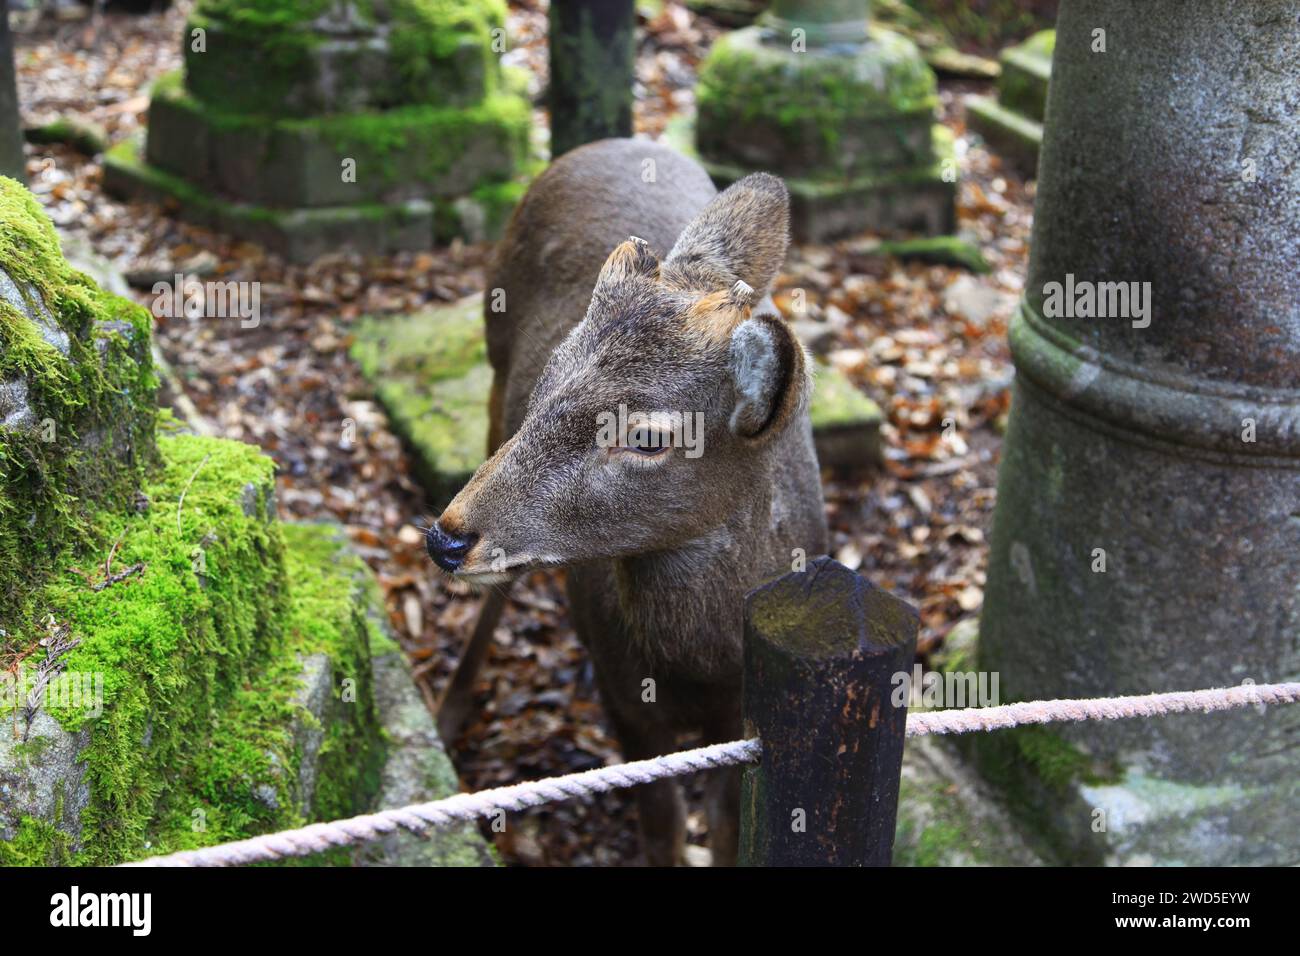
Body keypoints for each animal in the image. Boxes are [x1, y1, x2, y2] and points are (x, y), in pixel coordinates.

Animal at [431, 136, 826, 868]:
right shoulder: (625, 700)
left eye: (647, 437)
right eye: (550, 377)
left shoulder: (743, 723)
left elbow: (724, 831)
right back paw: (448, 710)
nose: (444, 537)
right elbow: (662, 828)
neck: (700, 666)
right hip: (492, 376)